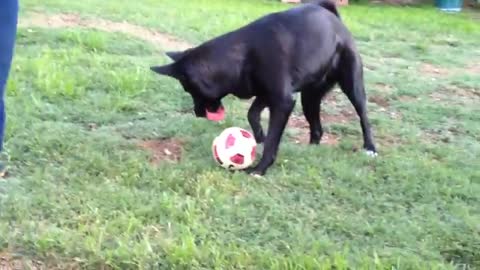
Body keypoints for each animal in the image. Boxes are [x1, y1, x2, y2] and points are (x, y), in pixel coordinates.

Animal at [152, 0, 376, 175]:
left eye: (189, 90)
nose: (198, 114)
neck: (241, 56)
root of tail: (333, 17)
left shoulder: (283, 101)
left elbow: (271, 140)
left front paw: (260, 168)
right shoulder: (264, 95)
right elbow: (252, 114)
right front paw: (260, 136)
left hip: (352, 86)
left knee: (363, 116)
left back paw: (370, 147)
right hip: (309, 98)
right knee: (317, 129)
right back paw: (310, 150)